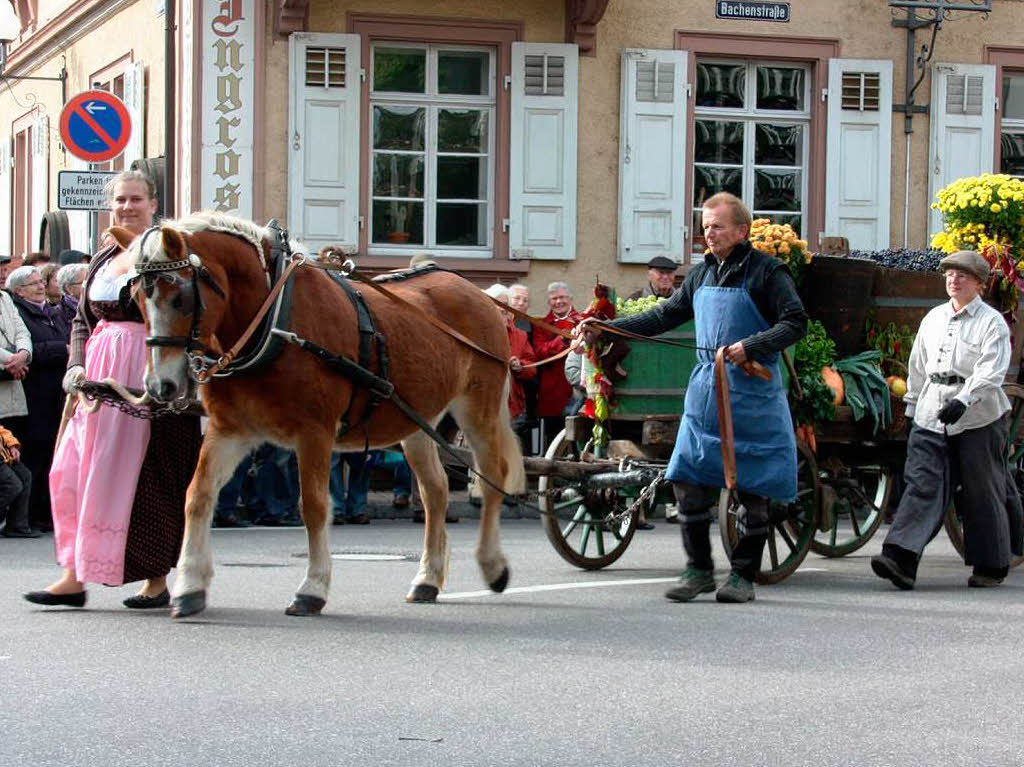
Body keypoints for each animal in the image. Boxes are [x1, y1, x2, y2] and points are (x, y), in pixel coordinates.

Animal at [111, 214, 524, 614]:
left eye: (179, 296)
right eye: (136, 298)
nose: (160, 385)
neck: (273, 321)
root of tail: (477, 293)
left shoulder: (315, 433)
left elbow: (314, 506)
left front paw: (312, 588)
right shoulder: (229, 430)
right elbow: (198, 496)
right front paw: (190, 586)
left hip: (478, 409)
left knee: (492, 476)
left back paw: (492, 565)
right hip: (417, 421)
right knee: (435, 492)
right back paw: (428, 579)